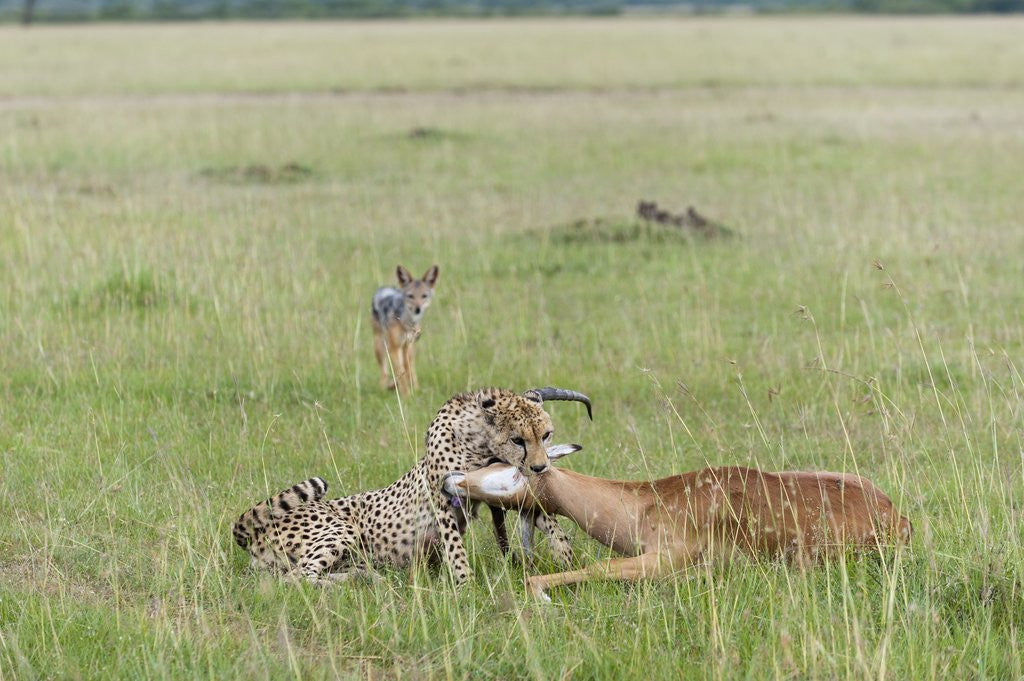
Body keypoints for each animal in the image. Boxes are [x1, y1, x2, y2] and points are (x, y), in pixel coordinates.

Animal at [444, 448, 912, 600]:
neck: (648, 502)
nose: (451, 480)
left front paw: (539, 594)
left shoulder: (663, 561)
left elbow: (596, 567)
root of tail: (896, 515)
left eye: (508, 467)